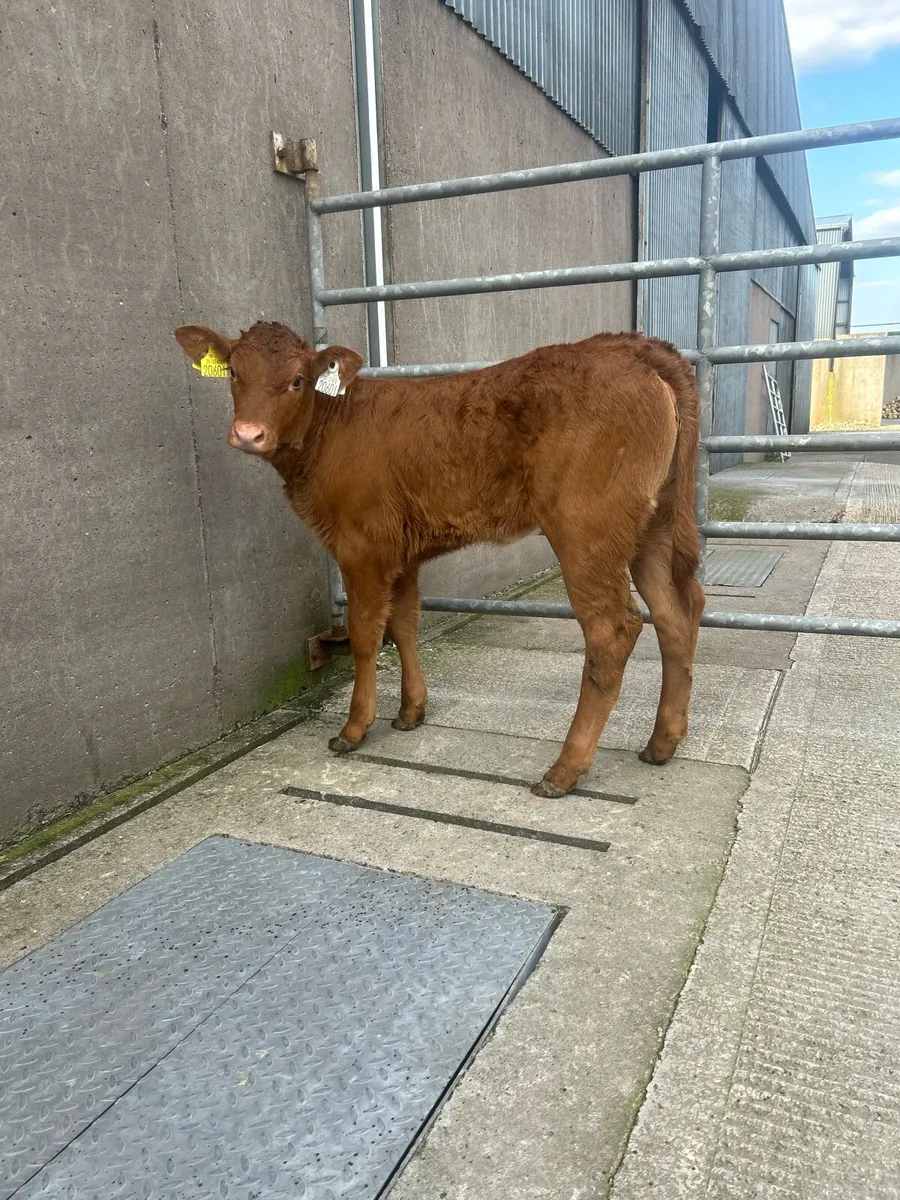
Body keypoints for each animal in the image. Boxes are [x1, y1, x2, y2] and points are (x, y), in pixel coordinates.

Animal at [175, 321, 705, 798]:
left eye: (297, 380)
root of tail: (632, 346)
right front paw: (411, 712)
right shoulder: (402, 553)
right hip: (653, 525)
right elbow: (405, 624)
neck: (331, 429)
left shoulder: (361, 547)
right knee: (678, 612)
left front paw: (354, 728)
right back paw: (662, 743)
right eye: (233, 373)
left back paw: (565, 769)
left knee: (612, 630)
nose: (249, 434)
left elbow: (366, 636)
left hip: (586, 529)